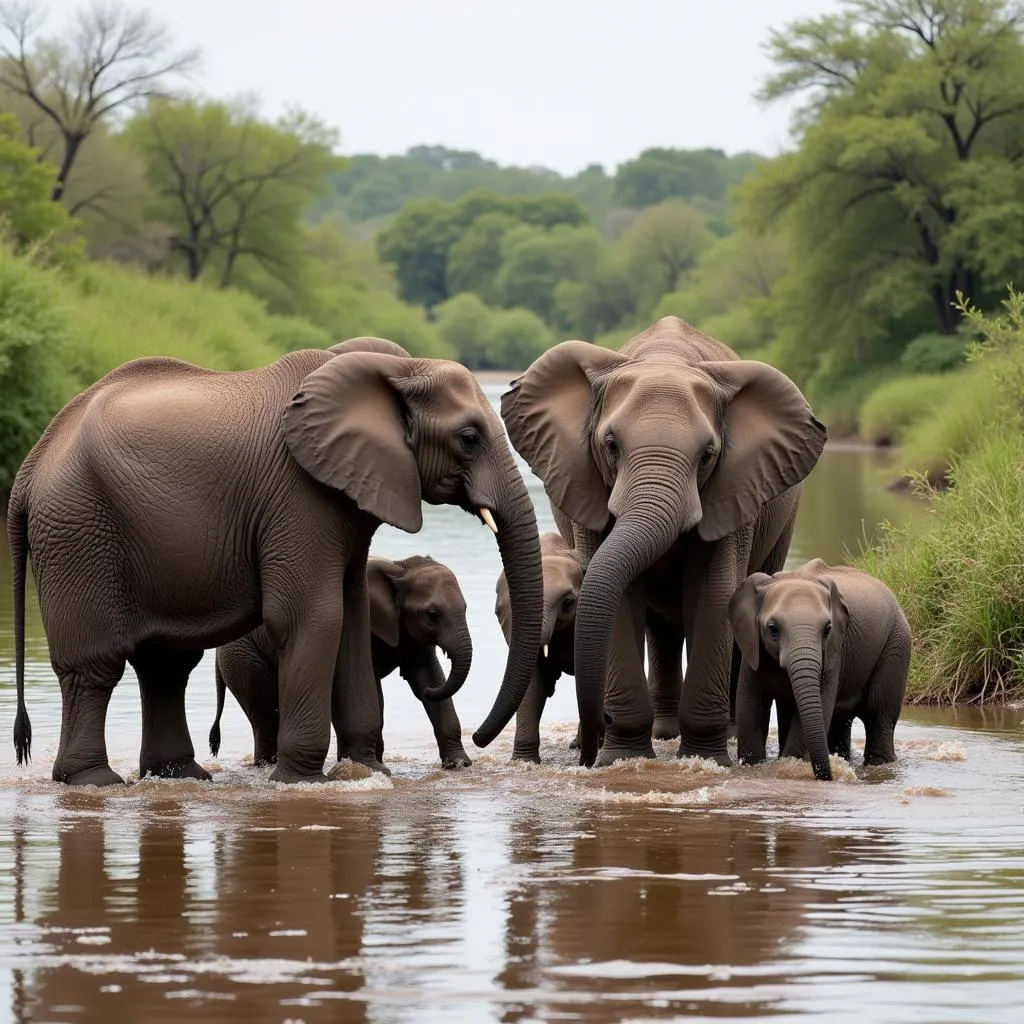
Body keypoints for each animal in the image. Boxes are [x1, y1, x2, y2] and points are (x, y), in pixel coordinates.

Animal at [214, 561, 477, 770]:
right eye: (432, 614)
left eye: (465, 608)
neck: (401, 568)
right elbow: (370, 686)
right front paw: (370, 764)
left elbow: (429, 676)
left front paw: (458, 765)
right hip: (243, 658)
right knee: (266, 715)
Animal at [729, 557, 913, 778]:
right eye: (773, 629)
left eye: (827, 629)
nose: (828, 777)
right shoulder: (753, 649)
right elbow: (749, 707)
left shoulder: (835, 651)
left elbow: (818, 708)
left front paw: (788, 766)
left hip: (896, 643)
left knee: (878, 712)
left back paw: (878, 764)